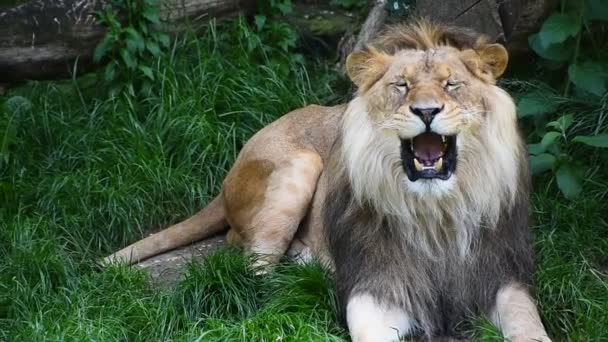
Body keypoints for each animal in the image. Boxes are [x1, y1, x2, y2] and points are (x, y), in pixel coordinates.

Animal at [104, 20, 552, 342]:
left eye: (451, 84)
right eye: (401, 86)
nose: (426, 110)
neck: (435, 213)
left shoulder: (502, 275)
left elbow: (529, 327)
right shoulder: (375, 283)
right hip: (300, 165)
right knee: (252, 268)